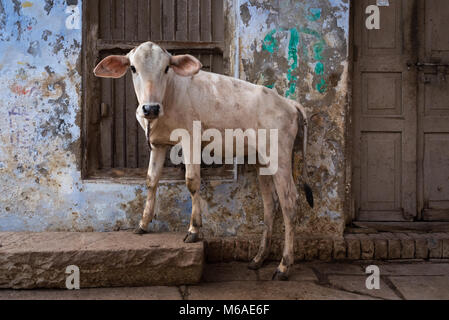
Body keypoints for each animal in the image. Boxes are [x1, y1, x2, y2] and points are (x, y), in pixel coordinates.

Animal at [93, 42, 314, 280]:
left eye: (166, 68)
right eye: (133, 68)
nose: (150, 108)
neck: (169, 97)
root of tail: (288, 102)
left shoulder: (190, 137)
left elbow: (191, 181)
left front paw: (194, 230)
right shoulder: (158, 144)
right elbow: (151, 180)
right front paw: (143, 224)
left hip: (279, 155)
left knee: (289, 202)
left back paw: (283, 266)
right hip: (262, 160)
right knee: (270, 203)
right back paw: (258, 258)